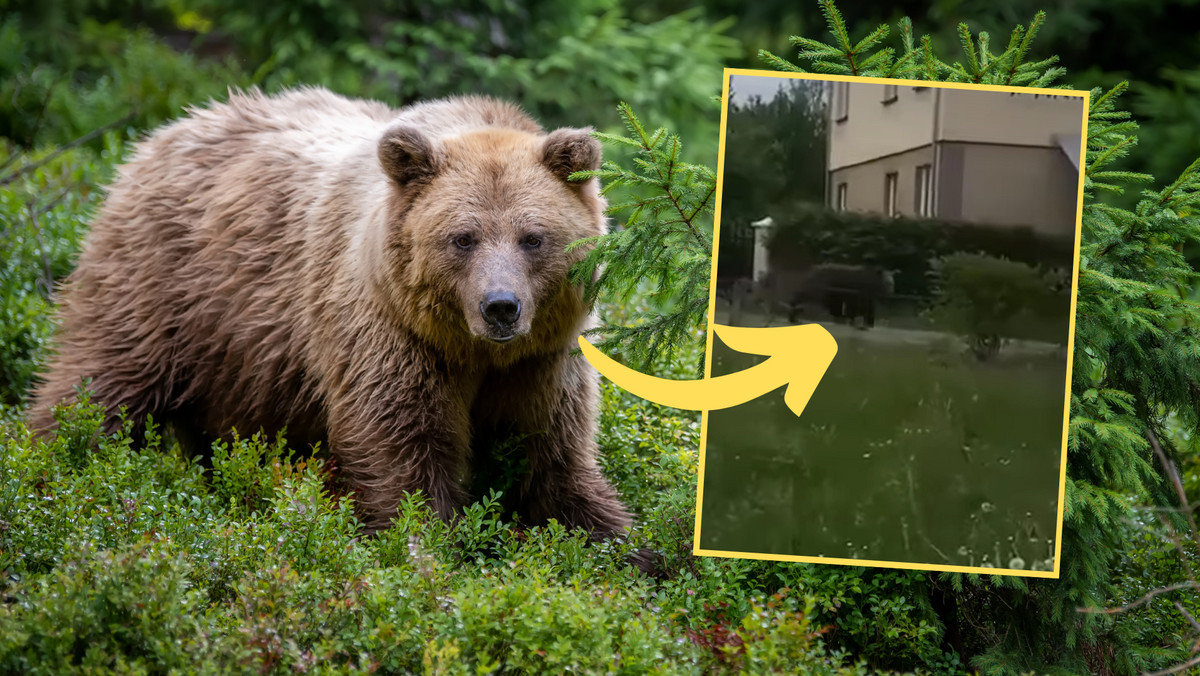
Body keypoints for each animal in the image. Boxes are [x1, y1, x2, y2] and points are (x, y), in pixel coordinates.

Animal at [25, 88, 638, 554]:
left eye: (533, 237)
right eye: (463, 238)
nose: (501, 306)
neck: (472, 350)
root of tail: (161, 134)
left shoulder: (543, 360)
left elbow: (554, 457)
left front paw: (625, 548)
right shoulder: (388, 334)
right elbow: (402, 448)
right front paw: (423, 547)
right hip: (164, 290)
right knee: (98, 383)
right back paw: (52, 464)